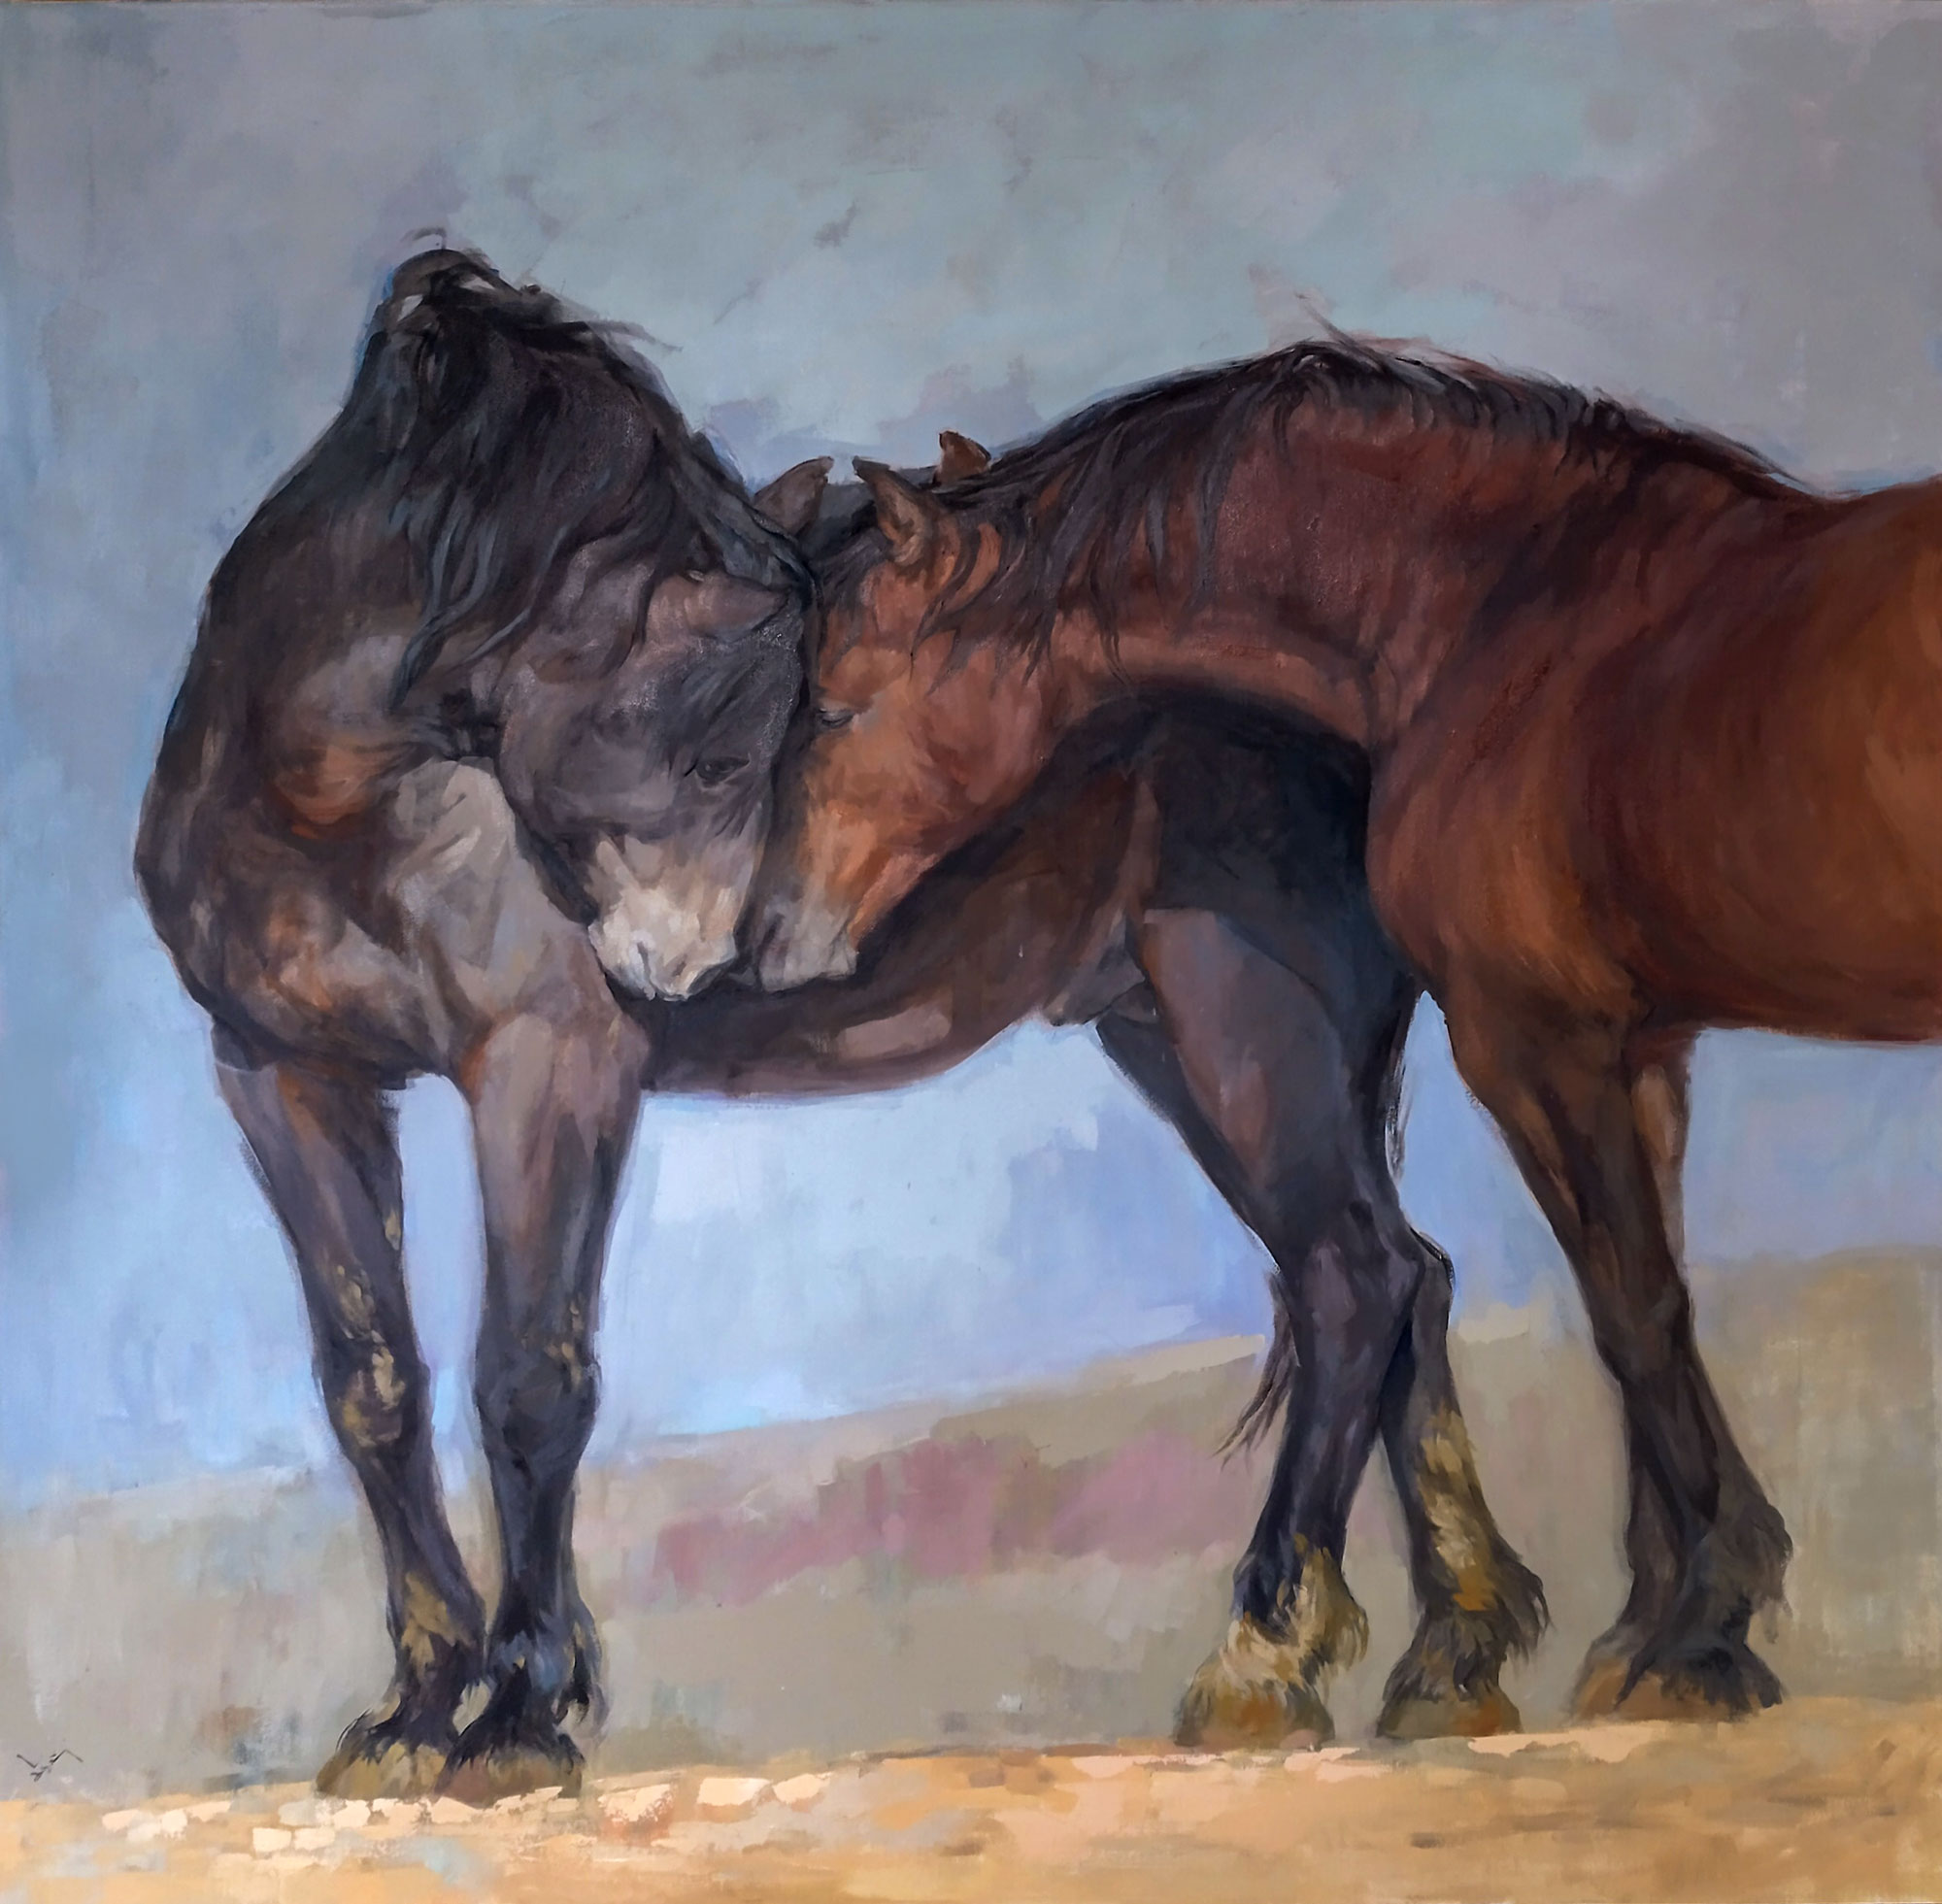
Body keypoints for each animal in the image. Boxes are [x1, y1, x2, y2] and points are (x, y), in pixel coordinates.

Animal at [136, 247, 821, 1800]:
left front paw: (519, 1710)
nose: (698, 963)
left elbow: (530, 1376)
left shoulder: (549, 1066)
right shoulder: (284, 1076)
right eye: (712, 742)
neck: (330, 811)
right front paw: (423, 1702)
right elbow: (374, 1381)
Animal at [747, 337, 1910, 1723]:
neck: (1517, 615)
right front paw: (1659, 1622)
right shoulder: (1633, 1046)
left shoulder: (1531, 1038)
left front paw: (1698, 1630)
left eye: (833, 701)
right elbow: (1649, 1297)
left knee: (1361, 1278)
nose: (759, 934)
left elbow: (1631, 1310)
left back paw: (1281, 1654)